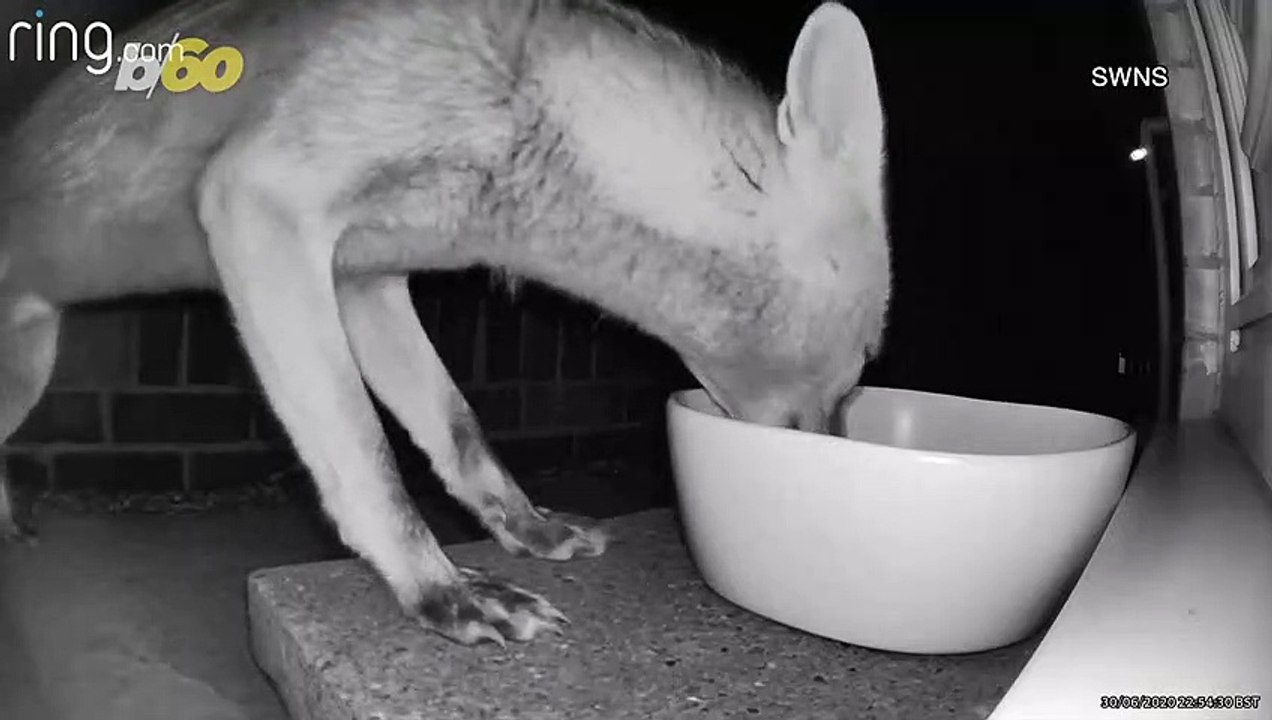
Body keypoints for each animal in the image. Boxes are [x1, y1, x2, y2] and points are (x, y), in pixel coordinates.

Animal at [0, 0, 889, 645]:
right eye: (868, 355)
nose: (833, 465)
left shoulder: (364, 279)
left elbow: (457, 432)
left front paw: (526, 531)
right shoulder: (261, 204)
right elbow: (366, 458)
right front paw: (441, 593)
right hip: (28, 376)